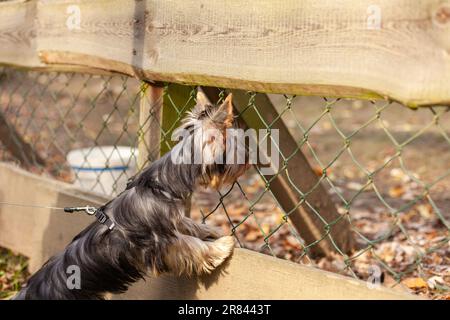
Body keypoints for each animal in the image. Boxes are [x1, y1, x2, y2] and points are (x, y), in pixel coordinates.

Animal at [14, 90, 248, 300]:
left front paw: (213, 230)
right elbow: (191, 245)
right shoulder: (162, 242)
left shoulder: (172, 220)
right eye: (237, 145)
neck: (159, 183)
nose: (248, 160)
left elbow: (189, 224)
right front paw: (221, 247)